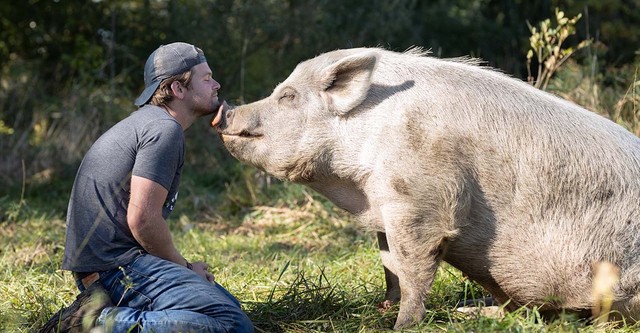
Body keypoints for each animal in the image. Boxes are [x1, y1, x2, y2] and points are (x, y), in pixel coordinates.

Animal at [212, 47, 640, 330]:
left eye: (287, 96)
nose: (227, 111)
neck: (357, 180)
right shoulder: (384, 208)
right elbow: (389, 263)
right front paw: (383, 308)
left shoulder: (420, 200)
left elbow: (414, 264)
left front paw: (402, 325)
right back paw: (470, 312)